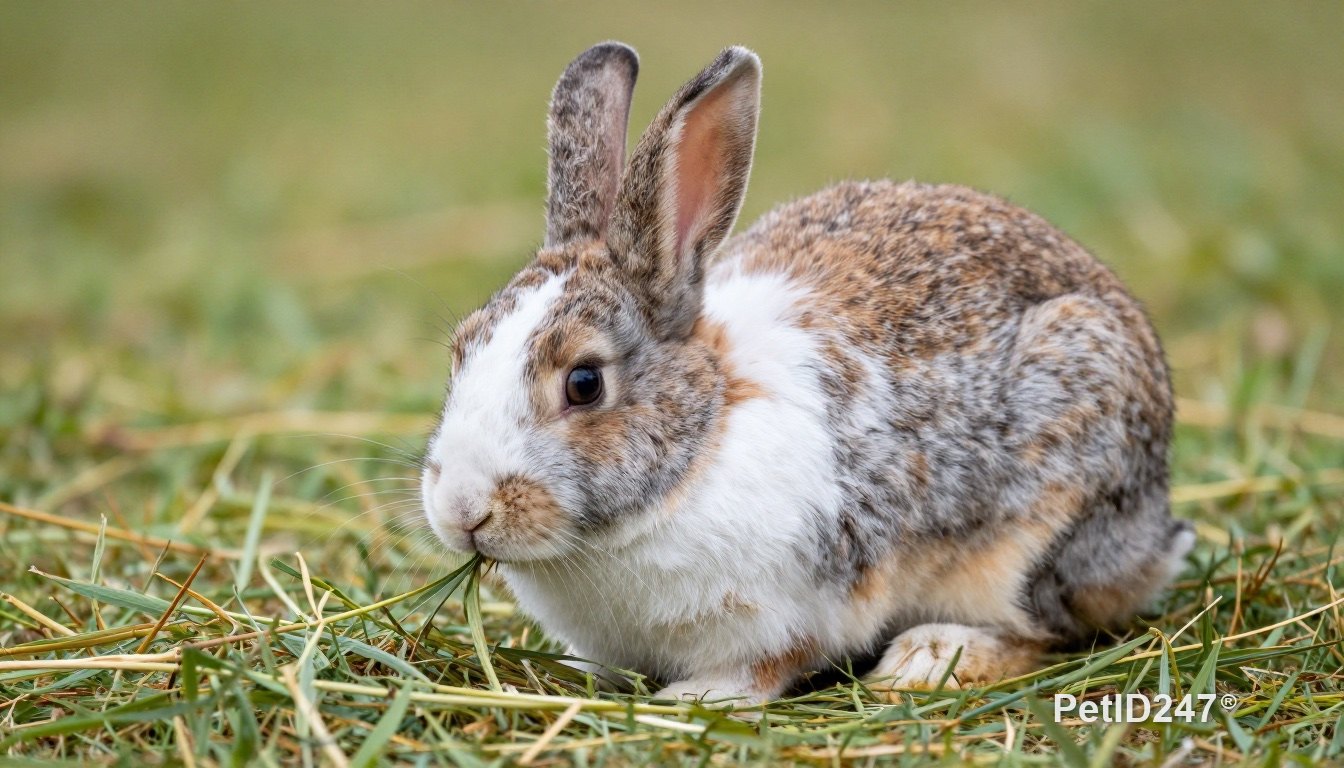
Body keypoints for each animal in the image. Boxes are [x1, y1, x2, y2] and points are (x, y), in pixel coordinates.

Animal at [420, 41, 1194, 705]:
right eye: (460, 350)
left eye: (584, 383)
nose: (463, 511)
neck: (700, 445)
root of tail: (1156, 535)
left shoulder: (791, 609)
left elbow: (766, 663)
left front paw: (696, 698)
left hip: (1047, 519)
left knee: (1049, 631)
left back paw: (928, 659)